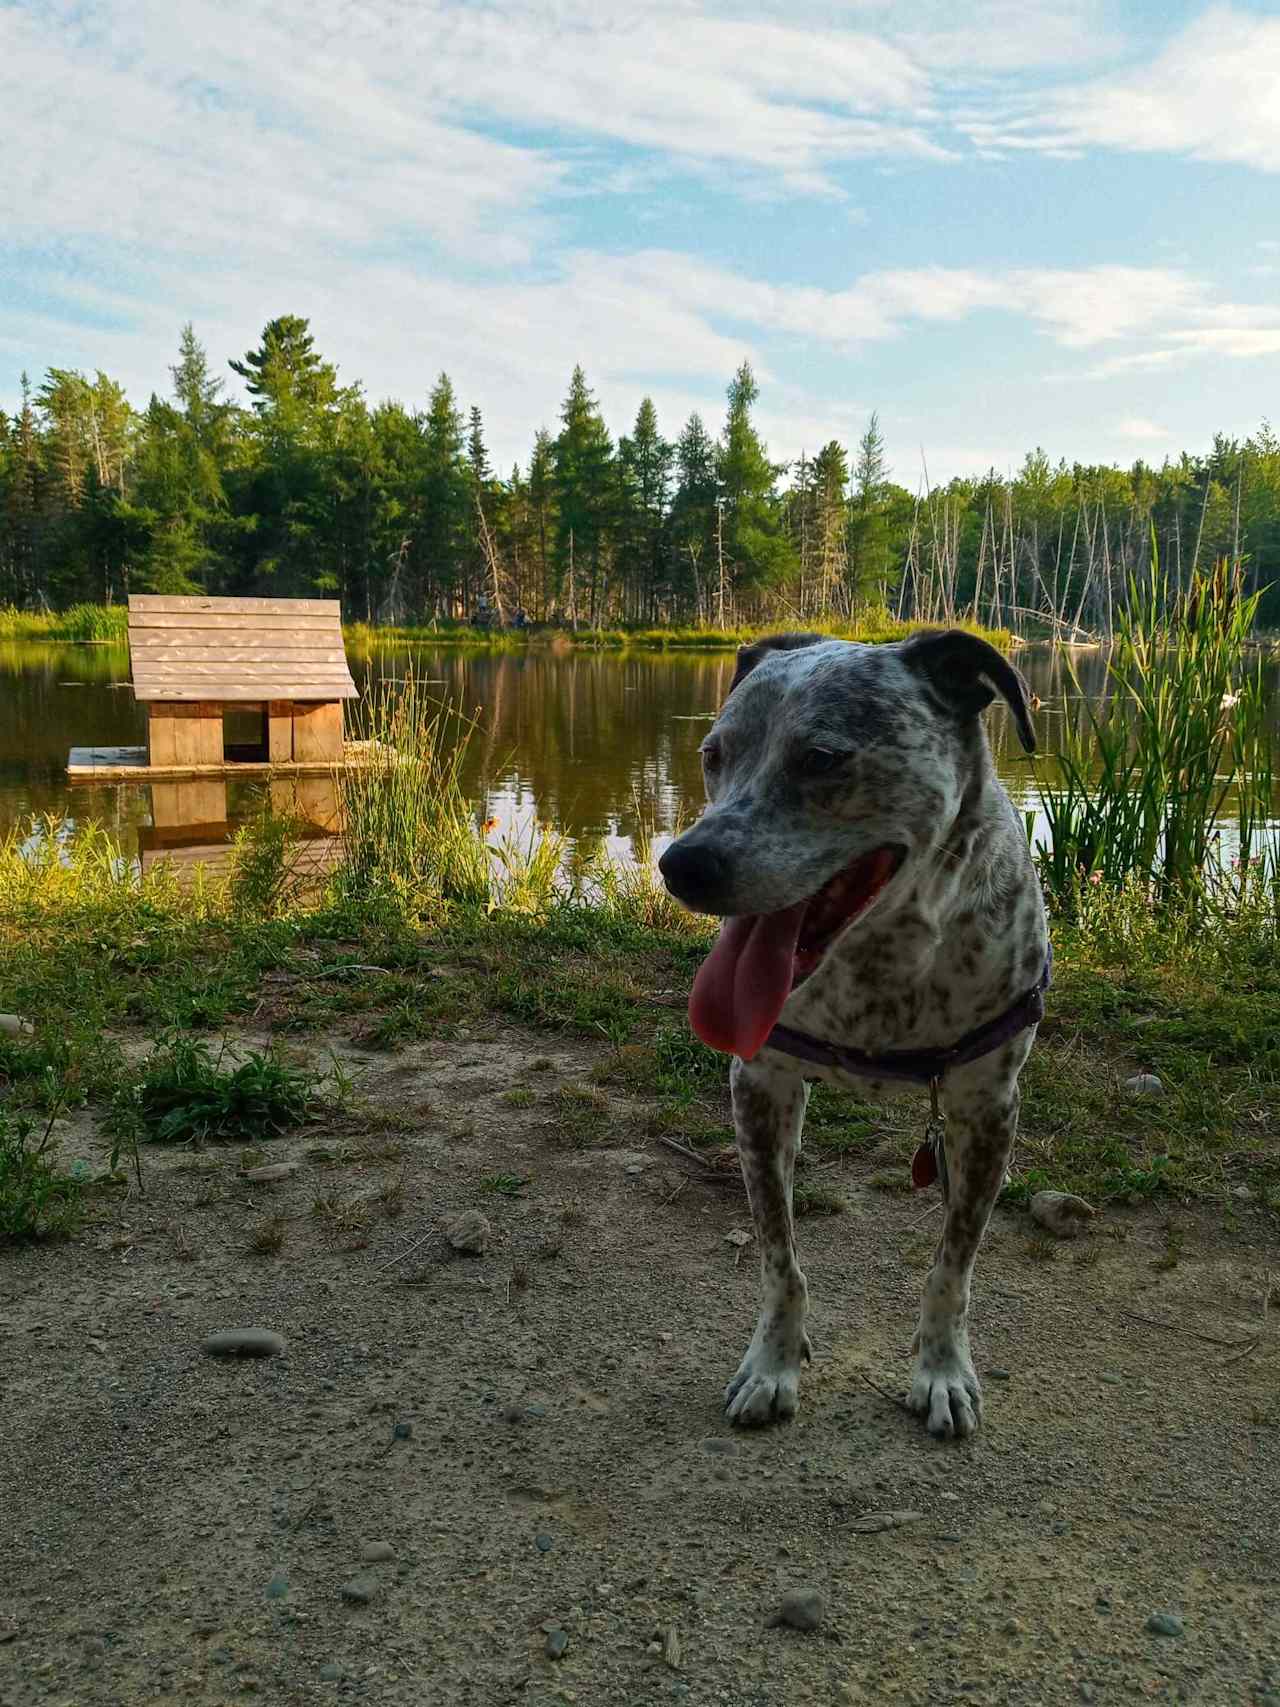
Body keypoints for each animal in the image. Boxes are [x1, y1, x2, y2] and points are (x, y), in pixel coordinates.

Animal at [662, 628, 1051, 1440]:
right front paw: (774, 1362)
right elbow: (781, 1257)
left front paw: (941, 1369)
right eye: (714, 752)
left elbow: (951, 1266)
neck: (880, 960)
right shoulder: (761, 1085)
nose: (681, 864)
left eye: (821, 758)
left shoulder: (988, 1109)